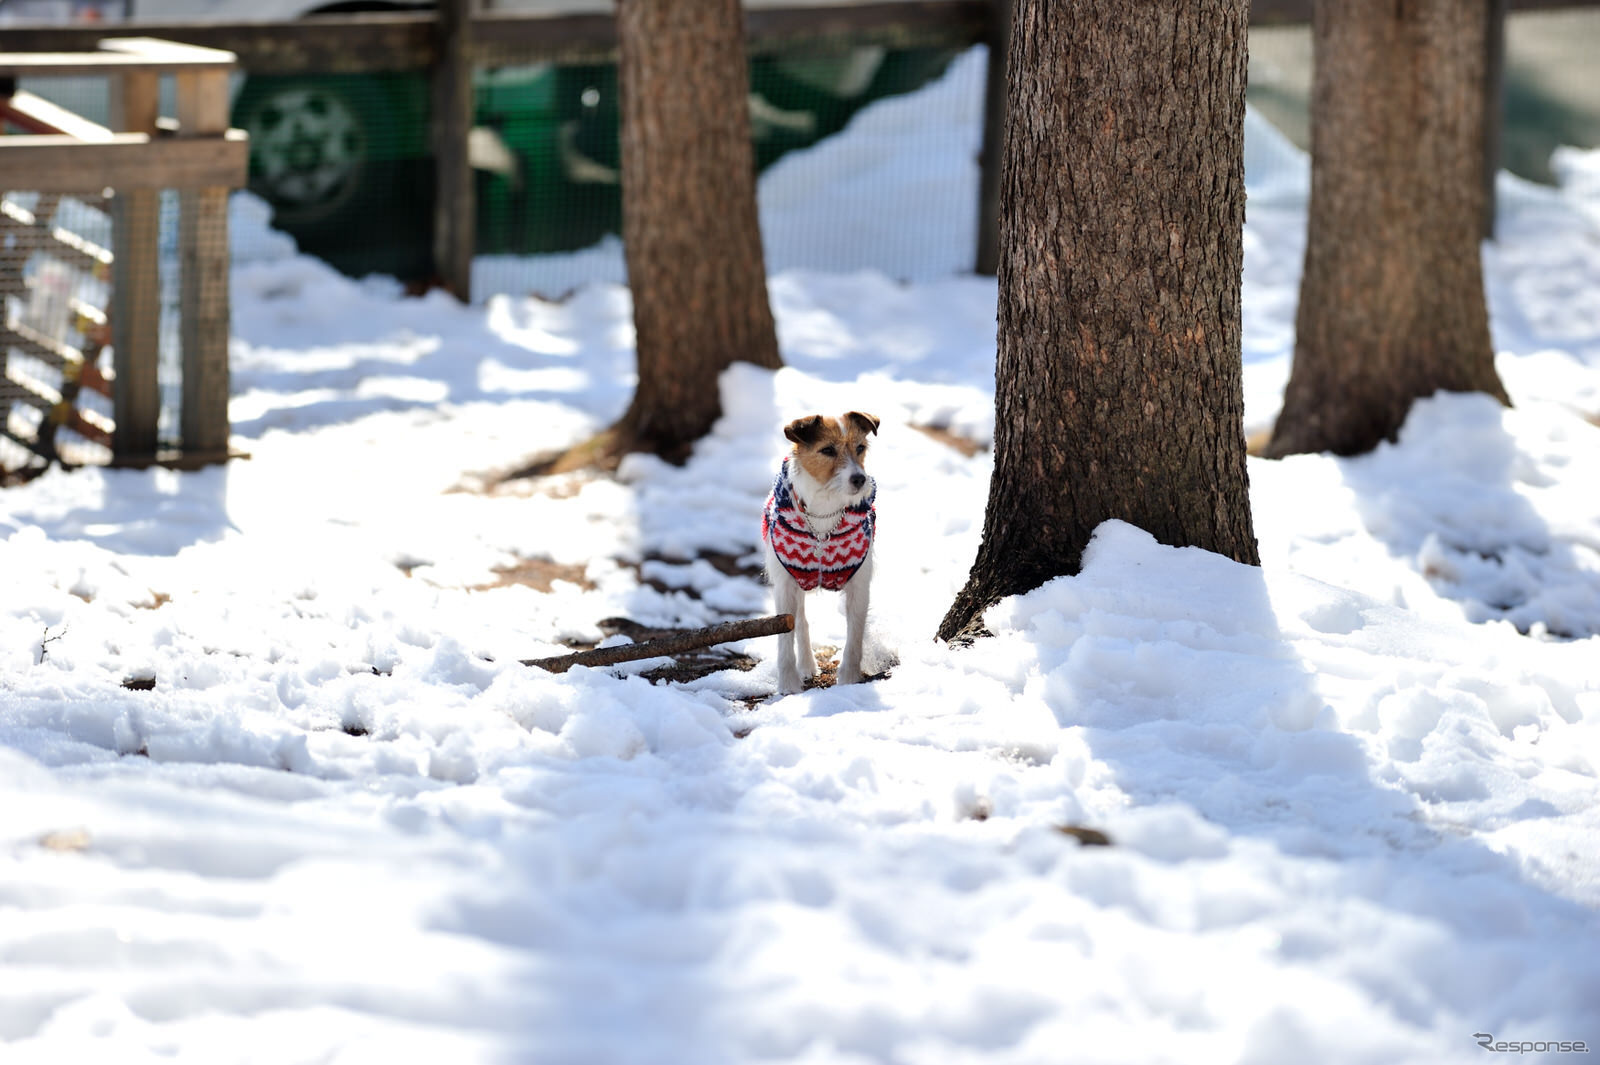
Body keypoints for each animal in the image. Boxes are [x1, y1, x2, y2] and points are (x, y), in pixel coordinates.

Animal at [758, 409, 883, 694]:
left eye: (860, 448)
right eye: (827, 450)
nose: (859, 479)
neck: (824, 515)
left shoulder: (859, 585)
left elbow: (855, 635)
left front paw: (849, 679)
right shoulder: (784, 585)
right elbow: (785, 636)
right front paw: (788, 684)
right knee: (800, 622)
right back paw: (806, 666)